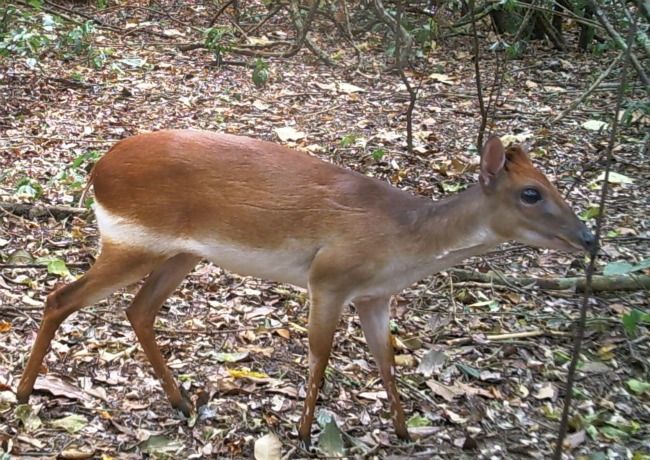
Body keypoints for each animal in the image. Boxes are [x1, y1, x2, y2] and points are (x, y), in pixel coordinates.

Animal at [15, 129, 592, 442]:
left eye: (551, 184)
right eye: (532, 193)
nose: (588, 237)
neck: (403, 242)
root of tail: (96, 172)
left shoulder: (376, 296)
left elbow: (385, 359)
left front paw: (404, 431)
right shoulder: (329, 277)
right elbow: (319, 353)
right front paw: (304, 431)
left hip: (182, 253)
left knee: (138, 310)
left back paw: (181, 402)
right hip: (133, 243)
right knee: (61, 297)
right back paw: (23, 393)